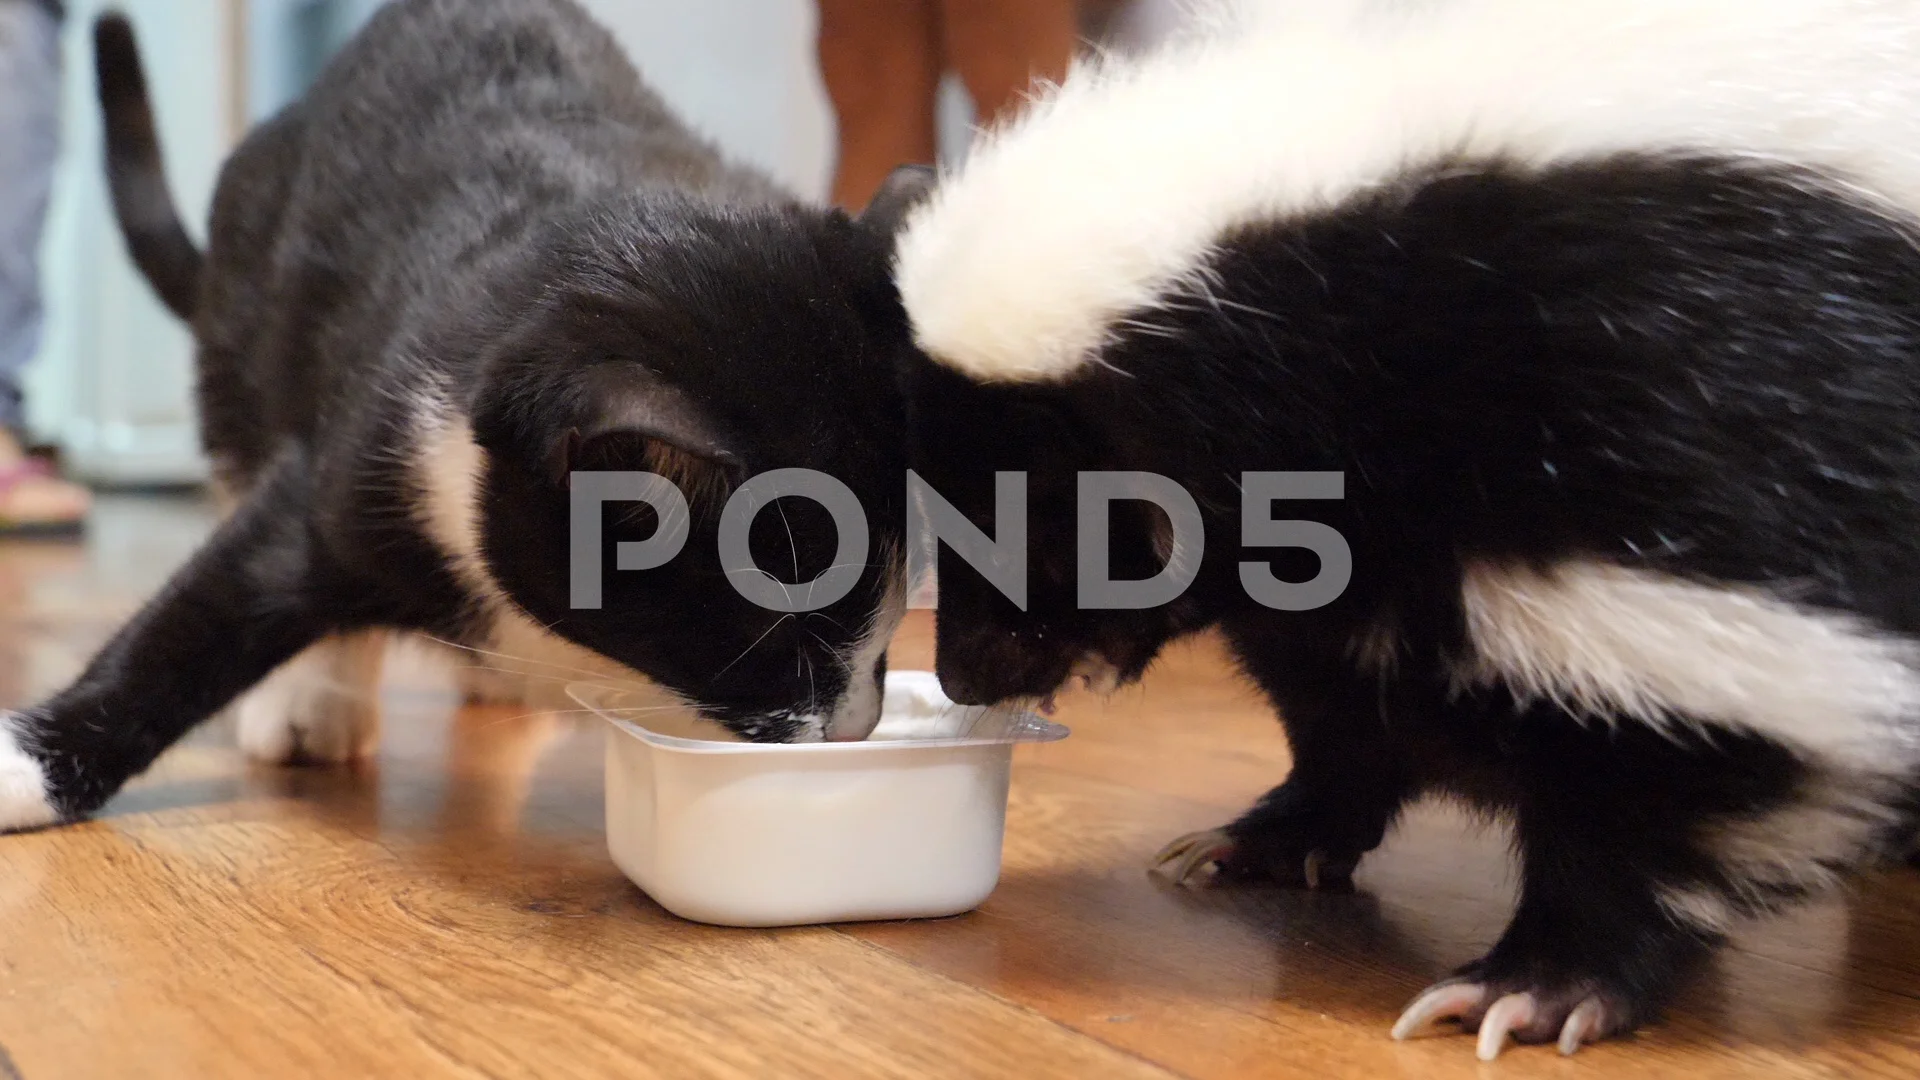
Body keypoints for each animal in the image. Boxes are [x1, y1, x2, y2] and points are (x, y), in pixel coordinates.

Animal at [0, 0, 921, 822]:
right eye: (779, 635)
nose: (855, 727)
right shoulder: (368, 449)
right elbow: (204, 614)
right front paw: (33, 764)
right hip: (243, 343)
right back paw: (313, 701)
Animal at [894, 0, 1920, 1060]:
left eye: (1041, 519)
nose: (964, 674)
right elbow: (1338, 695)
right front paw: (1274, 835)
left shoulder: (1704, 420)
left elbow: (1689, 754)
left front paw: (1543, 981)